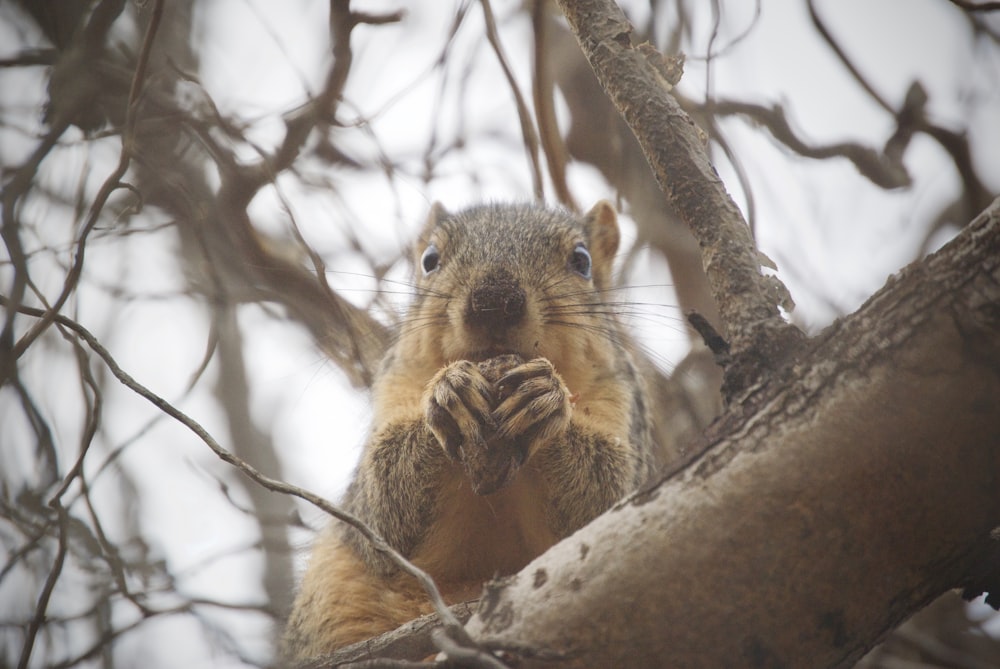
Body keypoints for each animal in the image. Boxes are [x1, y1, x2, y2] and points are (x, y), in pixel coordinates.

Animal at [282, 198, 656, 656]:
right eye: (429, 260)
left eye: (582, 261)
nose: (493, 302)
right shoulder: (395, 386)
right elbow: (382, 507)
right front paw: (449, 394)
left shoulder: (621, 398)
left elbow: (604, 498)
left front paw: (545, 398)